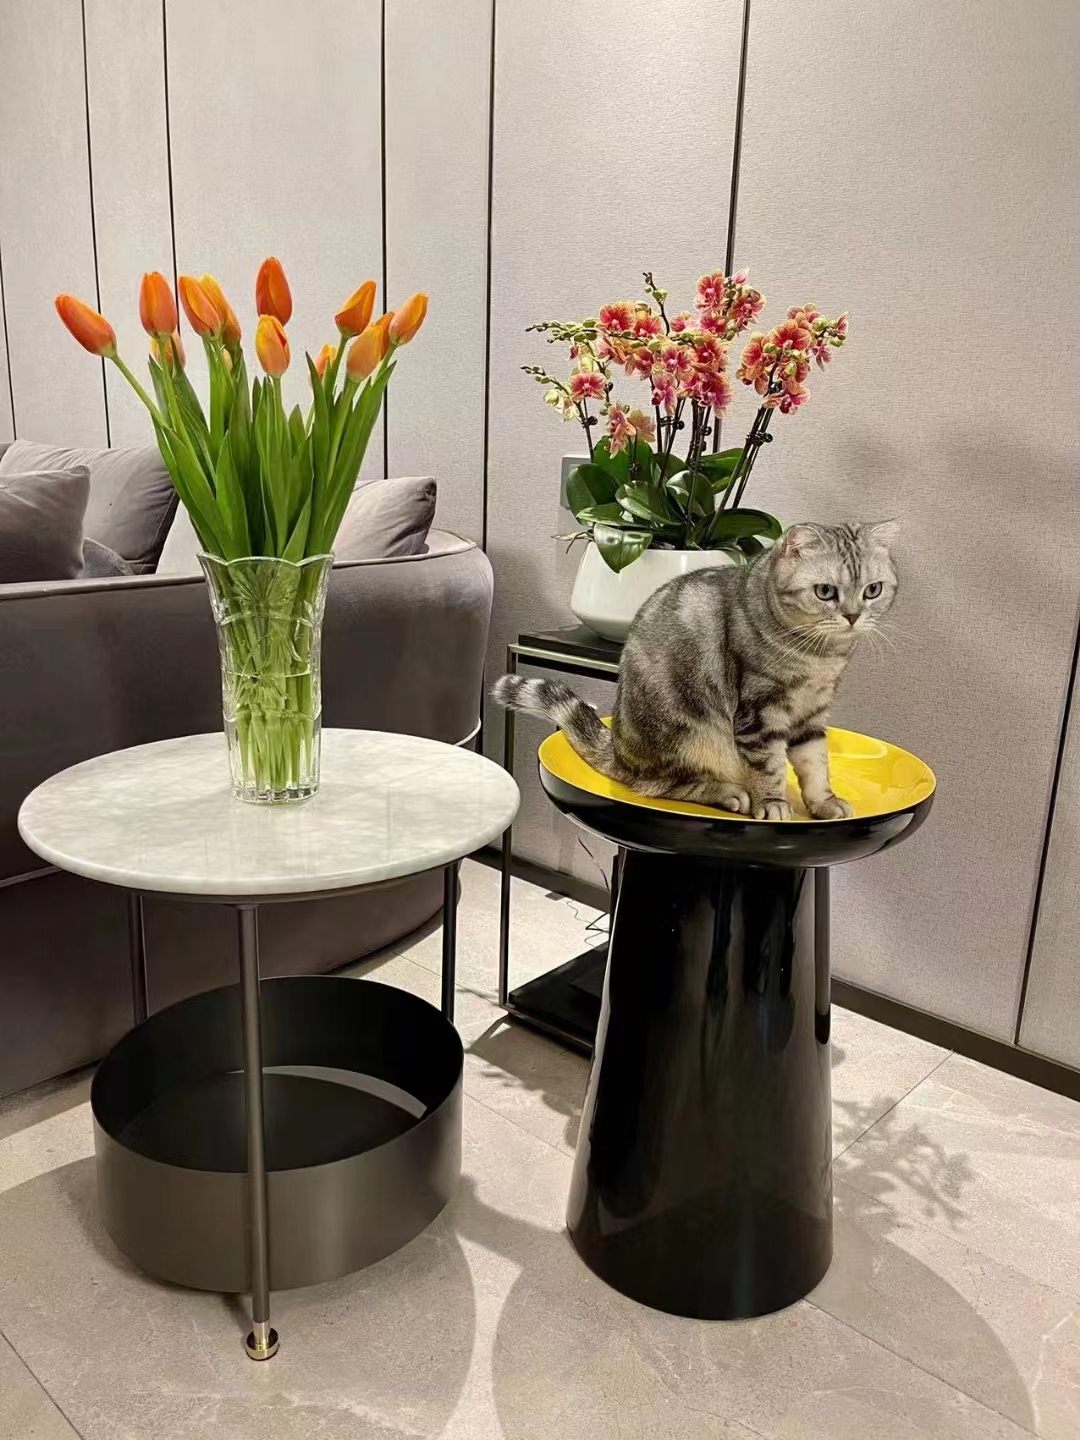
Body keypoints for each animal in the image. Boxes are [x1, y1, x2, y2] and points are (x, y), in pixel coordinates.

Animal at [493, 521, 898, 820]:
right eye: (826, 591)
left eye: (873, 590)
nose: (852, 616)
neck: (820, 658)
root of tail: (619, 751)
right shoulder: (759, 713)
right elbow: (769, 766)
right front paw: (773, 804)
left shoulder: (813, 711)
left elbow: (815, 763)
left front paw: (824, 803)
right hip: (691, 733)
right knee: (664, 786)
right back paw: (732, 794)